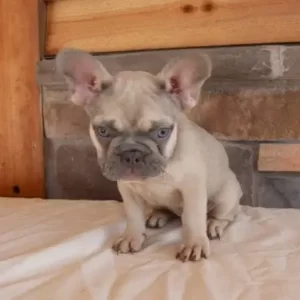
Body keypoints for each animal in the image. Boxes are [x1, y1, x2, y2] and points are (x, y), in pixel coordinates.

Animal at [57, 48, 243, 262]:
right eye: (102, 131)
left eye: (162, 132)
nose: (131, 154)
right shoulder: (127, 190)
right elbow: (133, 216)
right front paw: (132, 237)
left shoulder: (193, 188)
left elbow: (193, 217)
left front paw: (194, 243)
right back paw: (158, 215)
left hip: (226, 197)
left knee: (226, 214)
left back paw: (214, 224)